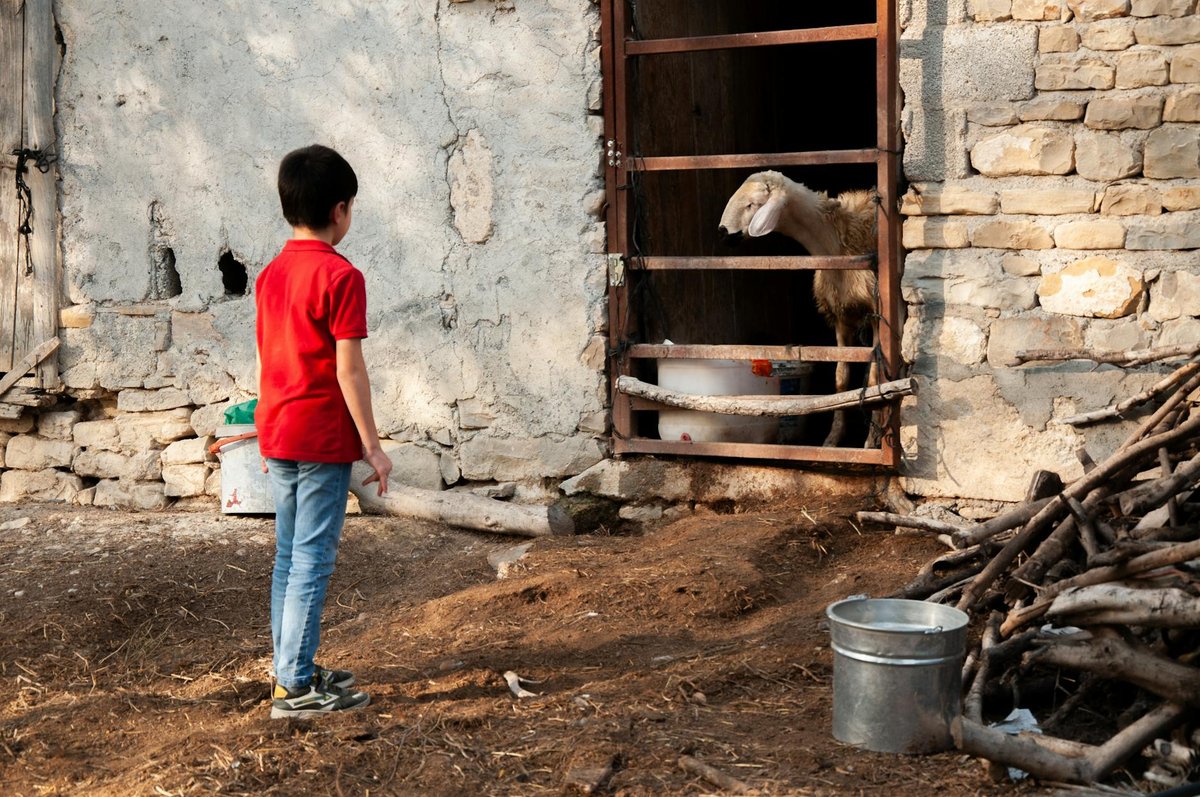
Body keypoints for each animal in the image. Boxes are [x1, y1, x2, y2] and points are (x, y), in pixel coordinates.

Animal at [718, 170, 879, 447]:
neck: (836, 243)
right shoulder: (840, 316)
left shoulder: (879, 314)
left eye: (752, 204)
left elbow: (874, 378)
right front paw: (832, 440)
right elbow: (841, 378)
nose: (723, 231)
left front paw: (870, 442)